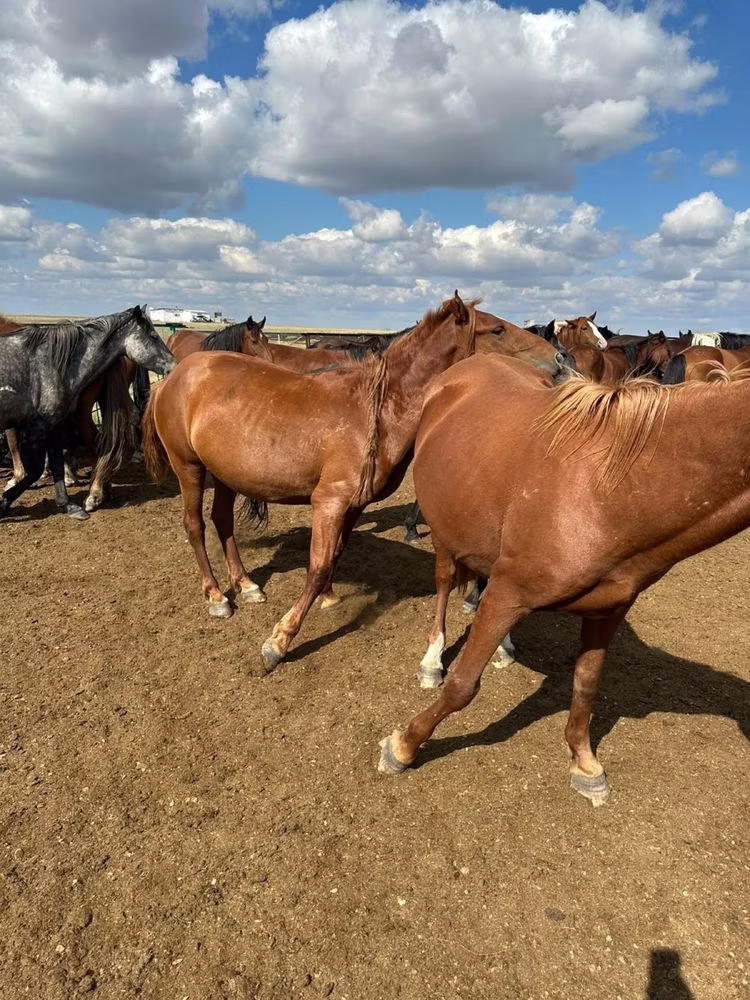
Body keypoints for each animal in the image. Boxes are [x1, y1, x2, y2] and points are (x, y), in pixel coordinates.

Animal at [0, 306, 175, 519]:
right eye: (153, 336)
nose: (173, 365)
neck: (48, 362)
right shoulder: (43, 425)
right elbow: (40, 464)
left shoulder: (45, 424)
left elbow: (43, 465)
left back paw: (97, 492)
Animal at [142, 293, 556, 669]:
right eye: (497, 329)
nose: (558, 360)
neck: (378, 407)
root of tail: (173, 376)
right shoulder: (329, 502)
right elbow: (318, 566)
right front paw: (279, 640)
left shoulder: (354, 505)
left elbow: (336, 555)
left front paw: (327, 597)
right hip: (188, 467)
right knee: (194, 526)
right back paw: (216, 596)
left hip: (226, 475)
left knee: (222, 522)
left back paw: (246, 586)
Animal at [378, 353, 750, 805]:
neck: (609, 491)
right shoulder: (509, 593)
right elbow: (462, 685)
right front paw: (404, 746)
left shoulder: (608, 610)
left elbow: (586, 686)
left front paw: (585, 764)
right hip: (445, 533)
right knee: (445, 584)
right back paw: (432, 660)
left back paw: (503, 647)